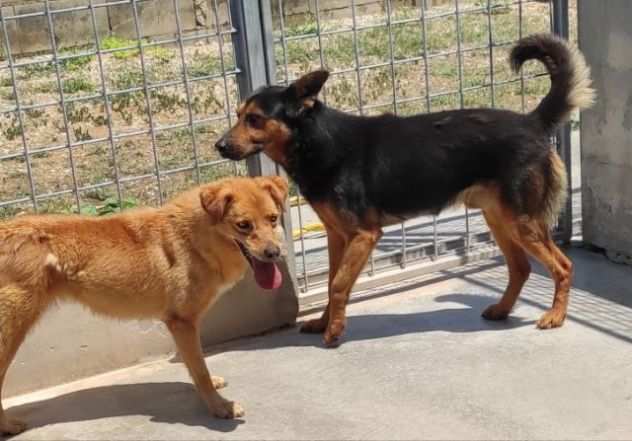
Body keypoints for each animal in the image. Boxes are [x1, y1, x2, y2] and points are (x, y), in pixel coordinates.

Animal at [216, 33, 592, 344]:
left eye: (254, 119)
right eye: (238, 114)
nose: (218, 146)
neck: (316, 140)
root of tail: (532, 121)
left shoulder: (364, 235)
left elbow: (339, 284)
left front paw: (334, 332)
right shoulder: (339, 236)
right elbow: (332, 281)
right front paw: (324, 322)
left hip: (522, 222)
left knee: (563, 267)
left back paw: (555, 316)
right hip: (499, 218)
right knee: (521, 268)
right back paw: (501, 310)